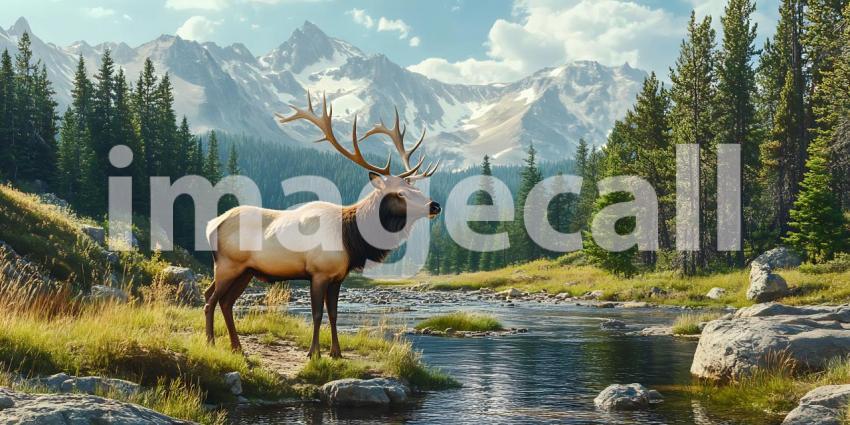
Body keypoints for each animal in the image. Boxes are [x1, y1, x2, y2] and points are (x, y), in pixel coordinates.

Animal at [203, 92, 441, 358]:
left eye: (416, 189)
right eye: (400, 193)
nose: (435, 205)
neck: (351, 239)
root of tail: (212, 224)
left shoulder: (338, 277)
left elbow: (334, 314)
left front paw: (336, 353)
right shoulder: (318, 272)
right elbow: (317, 314)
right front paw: (313, 353)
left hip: (245, 271)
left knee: (224, 301)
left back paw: (238, 348)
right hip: (228, 264)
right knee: (210, 300)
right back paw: (211, 343)